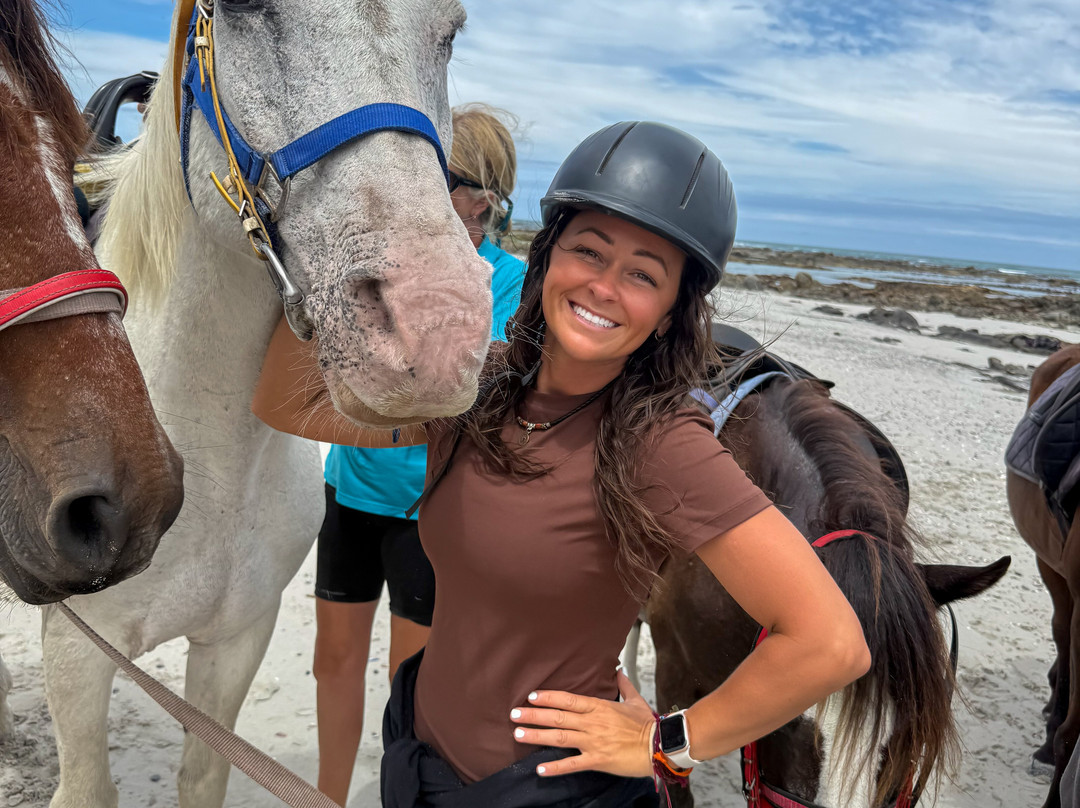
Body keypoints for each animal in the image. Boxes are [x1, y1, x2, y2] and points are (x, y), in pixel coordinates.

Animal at [41, 0, 492, 805]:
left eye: (451, 29)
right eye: (246, 9)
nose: (436, 324)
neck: (201, 456)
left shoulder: (235, 641)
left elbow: (203, 776)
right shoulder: (78, 654)